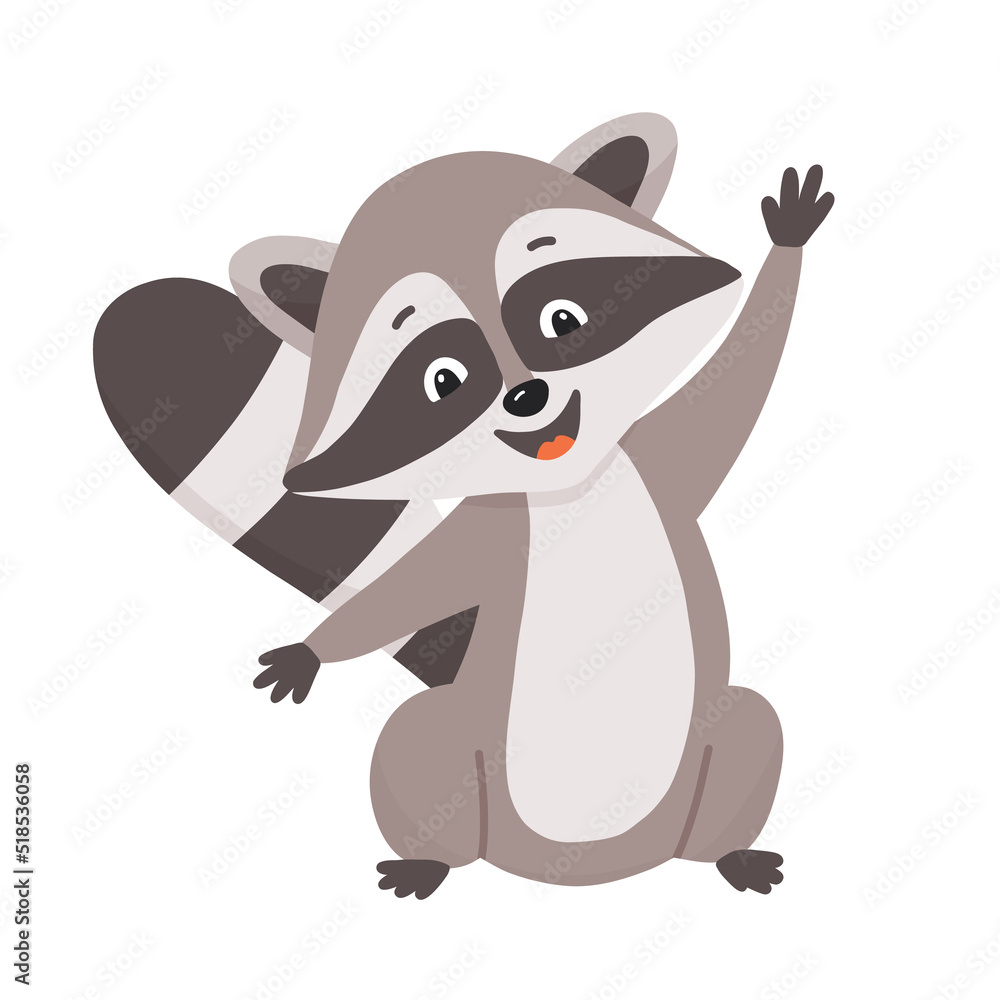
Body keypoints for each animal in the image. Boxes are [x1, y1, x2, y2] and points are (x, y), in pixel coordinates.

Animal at [94, 114, 833, 899]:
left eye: (562, 319)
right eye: (443, 378)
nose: (528, 396)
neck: (568, 485)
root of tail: (584, 866)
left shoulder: (665, 461)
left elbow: (741, 376)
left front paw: (787, 244)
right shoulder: (493, 528)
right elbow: (418, 585)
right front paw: (312, 650)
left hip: (705, 742)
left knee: (750, 727)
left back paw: (727, 851)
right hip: (466, 747)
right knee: (416, 741)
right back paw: (429, 857)